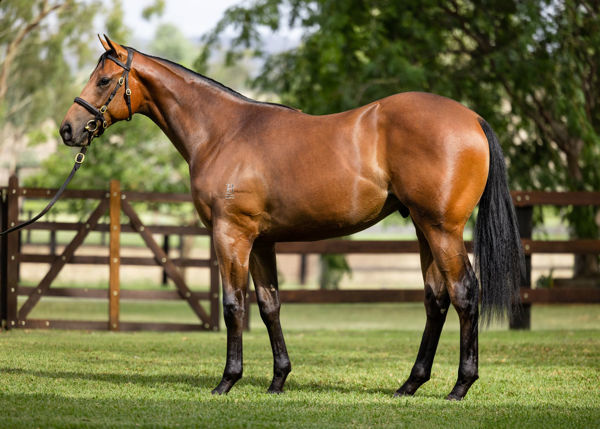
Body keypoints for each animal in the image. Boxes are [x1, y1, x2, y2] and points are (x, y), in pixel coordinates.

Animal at [58, 35, 524, 400]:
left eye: (103, 80)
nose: (68, 129)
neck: (223, 132)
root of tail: (472, 118)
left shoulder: (231, 235)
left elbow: (233, 305)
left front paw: (227, 381)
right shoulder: (262, 240)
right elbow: (269, 306)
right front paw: (278, 380)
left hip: (442, 229)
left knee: (464, 293)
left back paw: (460, 386)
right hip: (423, 228)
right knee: (436, 299)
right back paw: (410, 384)